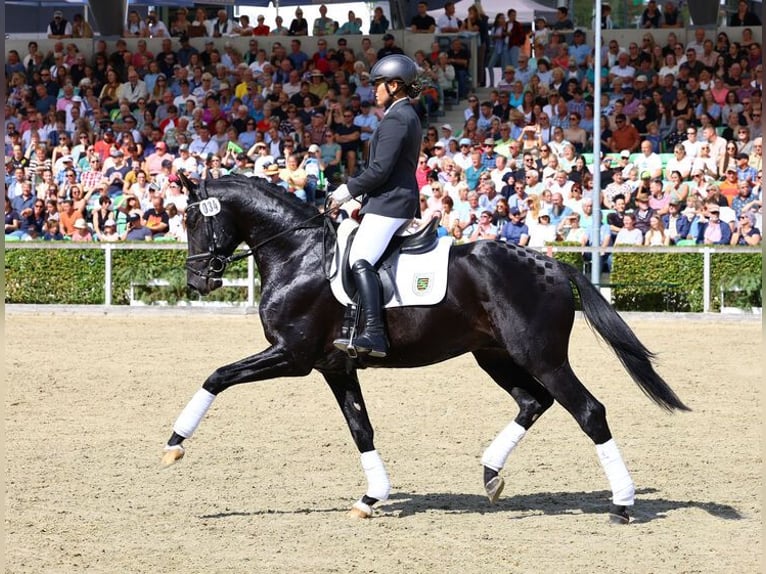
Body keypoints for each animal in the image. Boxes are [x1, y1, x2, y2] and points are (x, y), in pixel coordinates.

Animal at [162, 174, 689, 524]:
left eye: (190, 218)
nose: (198, 280)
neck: (299, 255)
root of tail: (553, 265)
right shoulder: (335, 366)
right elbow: (361, 428)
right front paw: (372, 497)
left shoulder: (292, 356)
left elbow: (216, 375)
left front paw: (174, 445)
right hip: (494, 356)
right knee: (533, 401)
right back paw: (491, 474)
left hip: (542, 357)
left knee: (588, 411)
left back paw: (622, 504)